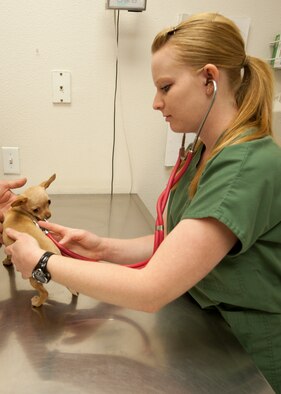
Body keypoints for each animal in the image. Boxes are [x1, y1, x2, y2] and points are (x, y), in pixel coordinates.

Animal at [2, 175, 67, 308]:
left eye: (49, 202)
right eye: (36, 209)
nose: (48, 216)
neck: (19, 210)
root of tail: (56, 255)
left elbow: (8, 254)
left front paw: (7, 261)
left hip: (33, 278)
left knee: (45, 293)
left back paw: (37, 303)